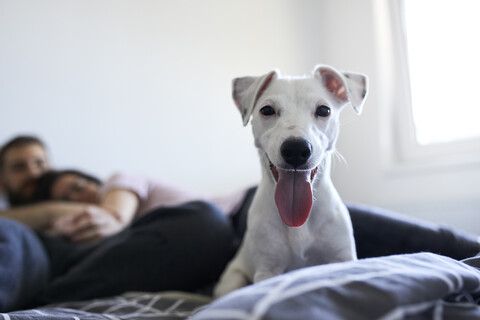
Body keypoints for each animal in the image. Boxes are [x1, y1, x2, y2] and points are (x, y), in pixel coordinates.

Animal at [216, 65, 370, 298]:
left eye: (324, 110)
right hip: (232, 280)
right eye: (267, 110)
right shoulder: (267, 270)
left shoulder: (341, 258)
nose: (296, 149)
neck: (299, 221)